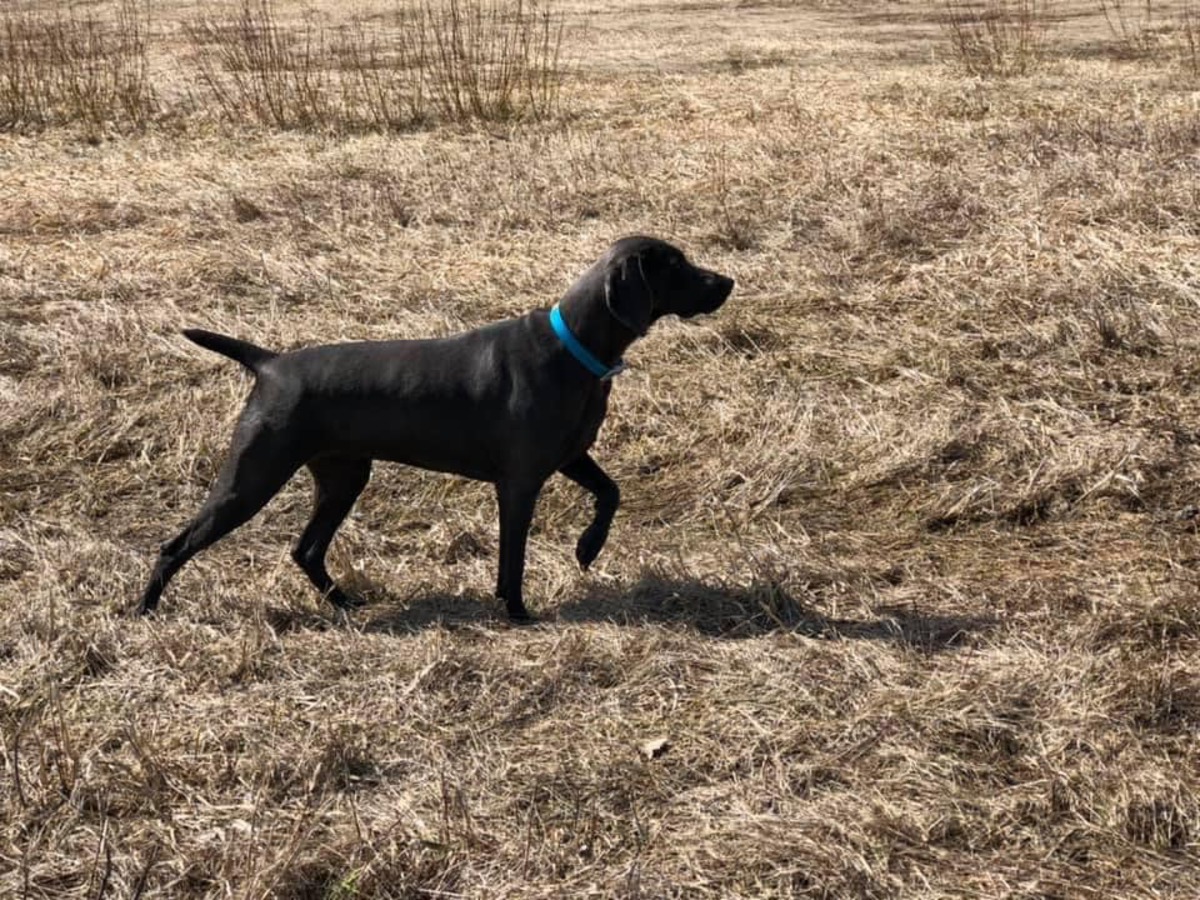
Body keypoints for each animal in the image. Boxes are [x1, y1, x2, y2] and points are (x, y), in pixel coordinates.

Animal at [131, 236, 729, 624]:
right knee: (176, 544)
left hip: (344, 475)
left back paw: (344, 603)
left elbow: (612, 492)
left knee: (307, 549)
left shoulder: (569, 456)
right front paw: (517, 611)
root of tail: (271, 363)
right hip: (253, 476)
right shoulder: (519, 481)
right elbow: (513, 554)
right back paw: (143, 609)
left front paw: (588, 549)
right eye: (676, 265)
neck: (575, 349)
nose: (728, 281)